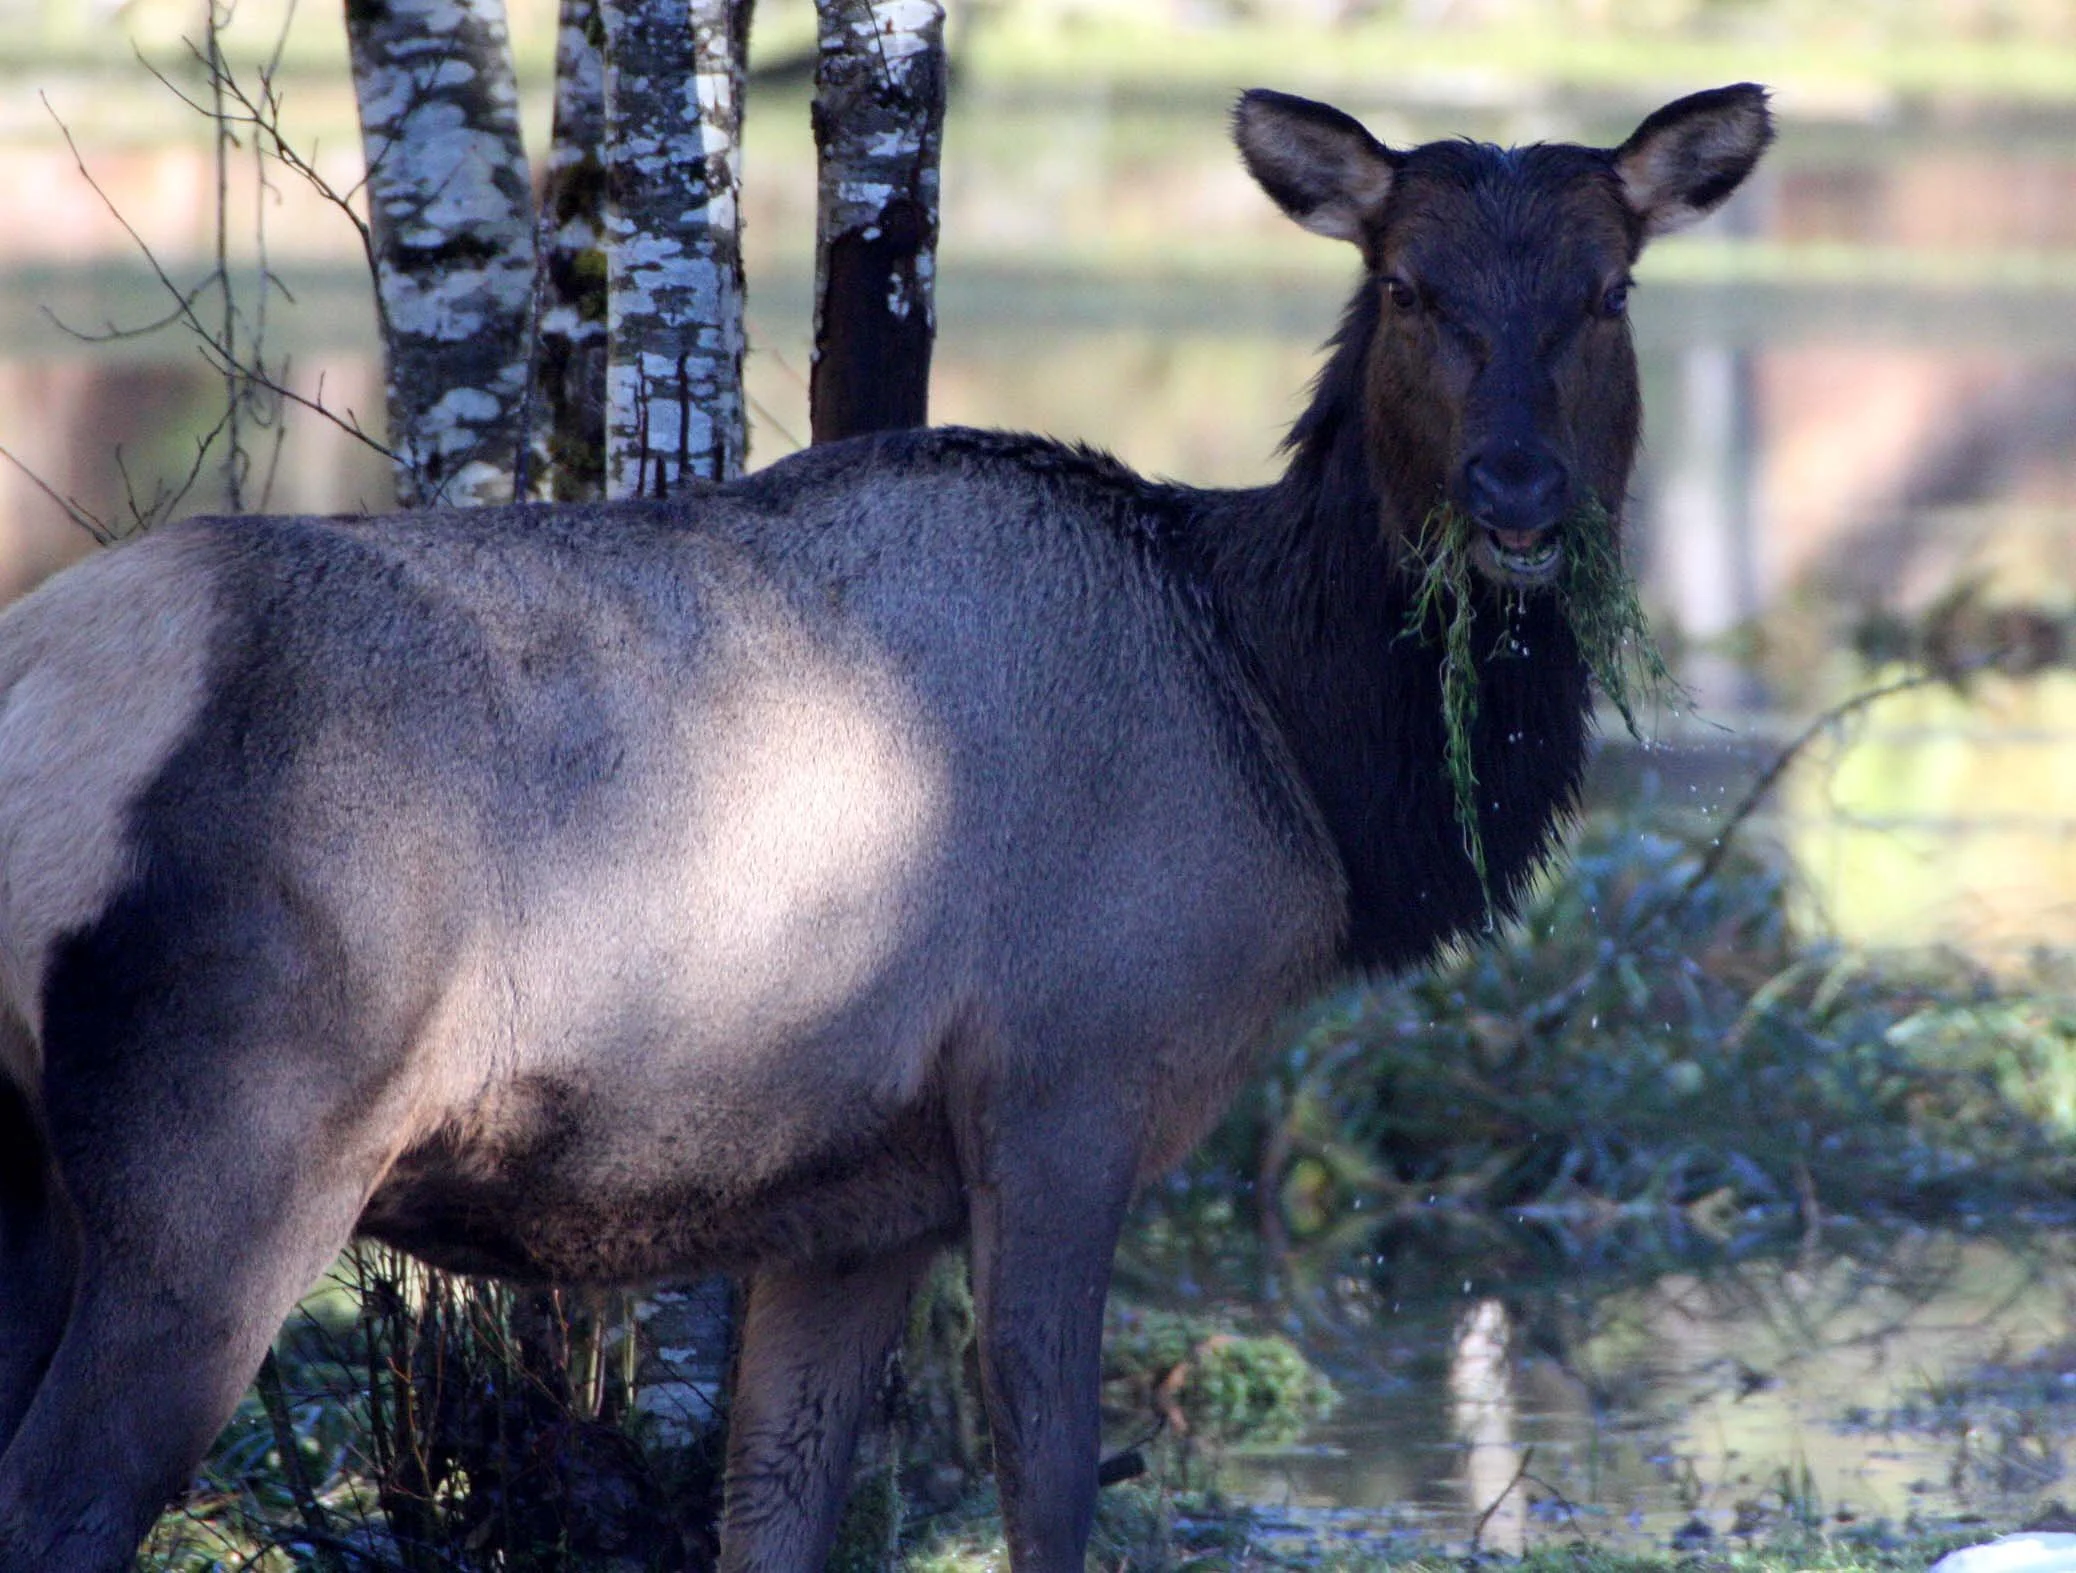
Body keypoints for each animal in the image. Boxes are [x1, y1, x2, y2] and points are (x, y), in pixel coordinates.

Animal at [0, 83, 1770, 1572]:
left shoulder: (858, 1193)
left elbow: (777, 1509)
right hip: (231, 1142)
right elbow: (1048, 1482)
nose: (1518, 497)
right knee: (64, 1499)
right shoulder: (1069, 1076)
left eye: (1610, 290)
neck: (1299, 751)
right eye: (1407, 286)